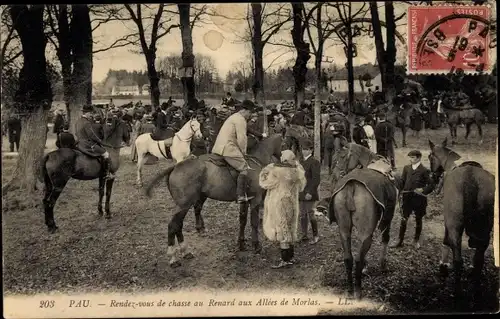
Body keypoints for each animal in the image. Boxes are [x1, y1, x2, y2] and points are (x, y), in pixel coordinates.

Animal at [144, 134, 286, 268]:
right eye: (283, 144)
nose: (284, 160)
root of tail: (176, 167)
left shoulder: (245, 201)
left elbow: (242, 221)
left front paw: (241, 243)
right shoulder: (255, 200)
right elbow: (254, 223)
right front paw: (256, 245)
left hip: (184, 205)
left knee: (178, 225)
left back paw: (185, 252)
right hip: (184, 205)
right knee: (173, 226)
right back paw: (173, 258)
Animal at [428, 139, 494, 298]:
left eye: (429, 157)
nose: (433, 176)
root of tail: (470, 177)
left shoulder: (448, 223)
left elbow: (445, 241)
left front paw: (443, 266)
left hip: (455, 226)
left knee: (458, 260)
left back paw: (457, 292)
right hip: (485, 228)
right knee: (479, 259)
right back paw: (476, 289)